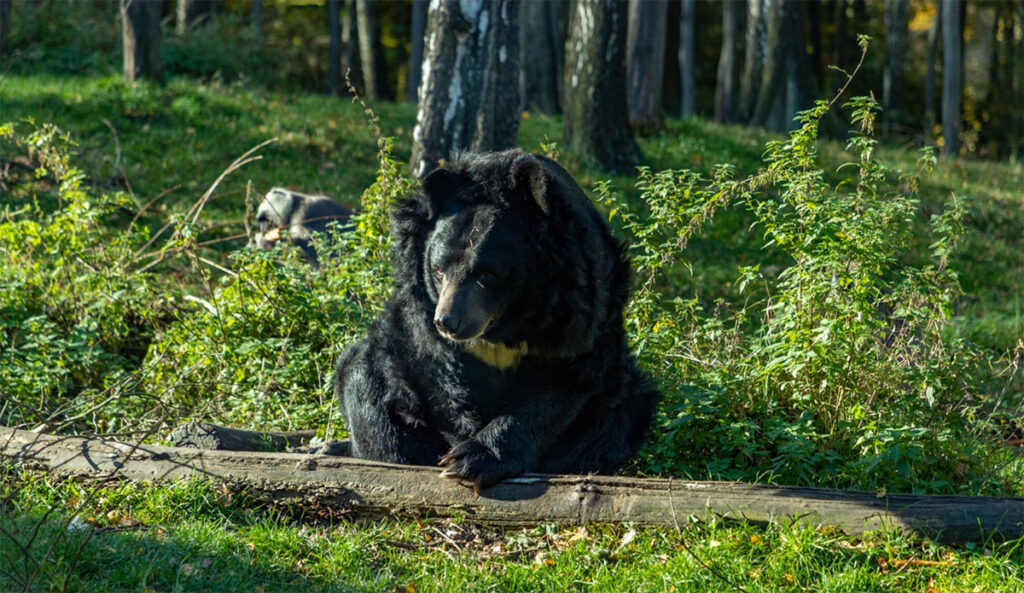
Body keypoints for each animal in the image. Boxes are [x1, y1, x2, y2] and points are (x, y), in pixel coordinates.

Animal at [334, 149, 662, 489]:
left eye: (487, 275)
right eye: (438, 269)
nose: (447, 322)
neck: (507, 322)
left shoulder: (580, 303)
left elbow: (563, 379)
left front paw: (473, 458)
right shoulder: (420, 310)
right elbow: (439, 371)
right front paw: (454, 452)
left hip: (623, 399)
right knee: (367, 388)